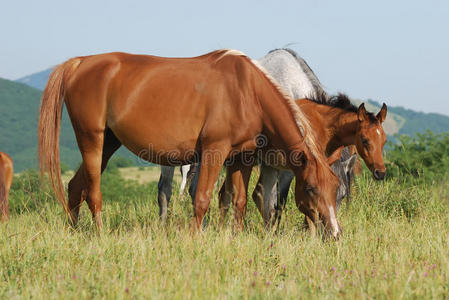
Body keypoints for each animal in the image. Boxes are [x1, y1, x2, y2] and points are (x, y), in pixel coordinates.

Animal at [39, 49, 344, 237]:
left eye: (337, 188)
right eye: (311, 188)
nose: (335, 234)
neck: (247, 90)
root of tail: (81, 62)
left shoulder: (241, 158)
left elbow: (239, 200)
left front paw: (234, 236)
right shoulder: (213, 152)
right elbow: (202, 198)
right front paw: (197, 238)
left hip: (108, 144)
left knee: (75, 186)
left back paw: (75, 232)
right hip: (92, 140)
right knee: (93, 192)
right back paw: (100, 235)